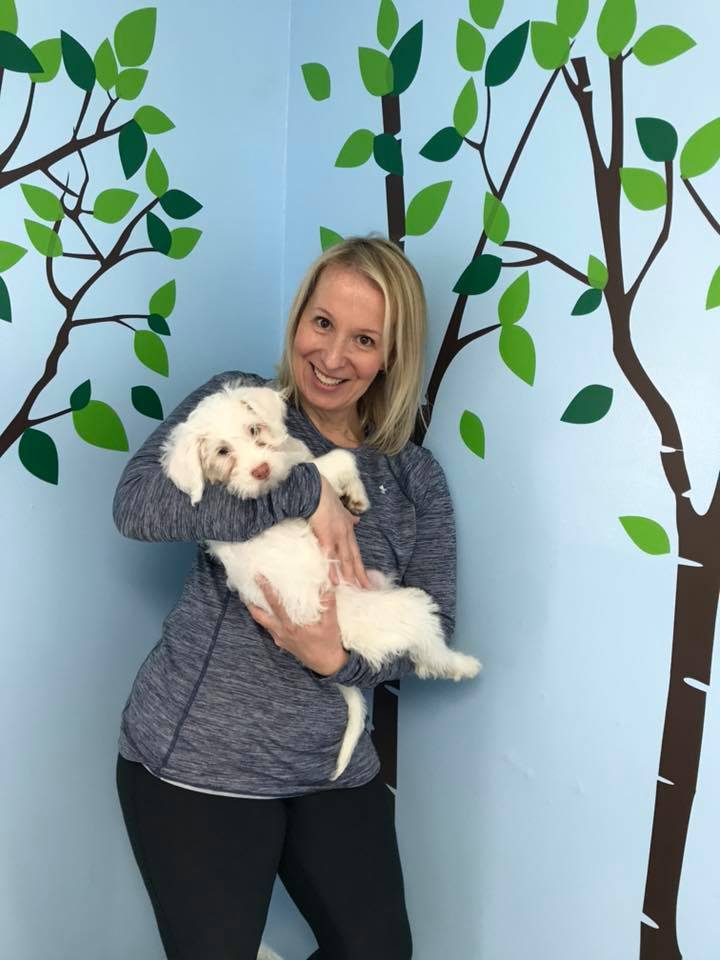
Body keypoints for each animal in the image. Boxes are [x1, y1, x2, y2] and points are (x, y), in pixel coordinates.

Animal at [160, 378, 480, 784]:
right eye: (222, 452)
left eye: (254, 430)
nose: (261, 470)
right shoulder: (311, 473)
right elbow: (341, 457)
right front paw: (350, 493)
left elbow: (336, 461)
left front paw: (354, 497)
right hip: (406, 609)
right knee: (427, 657)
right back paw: (464, 664)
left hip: (377, 581)